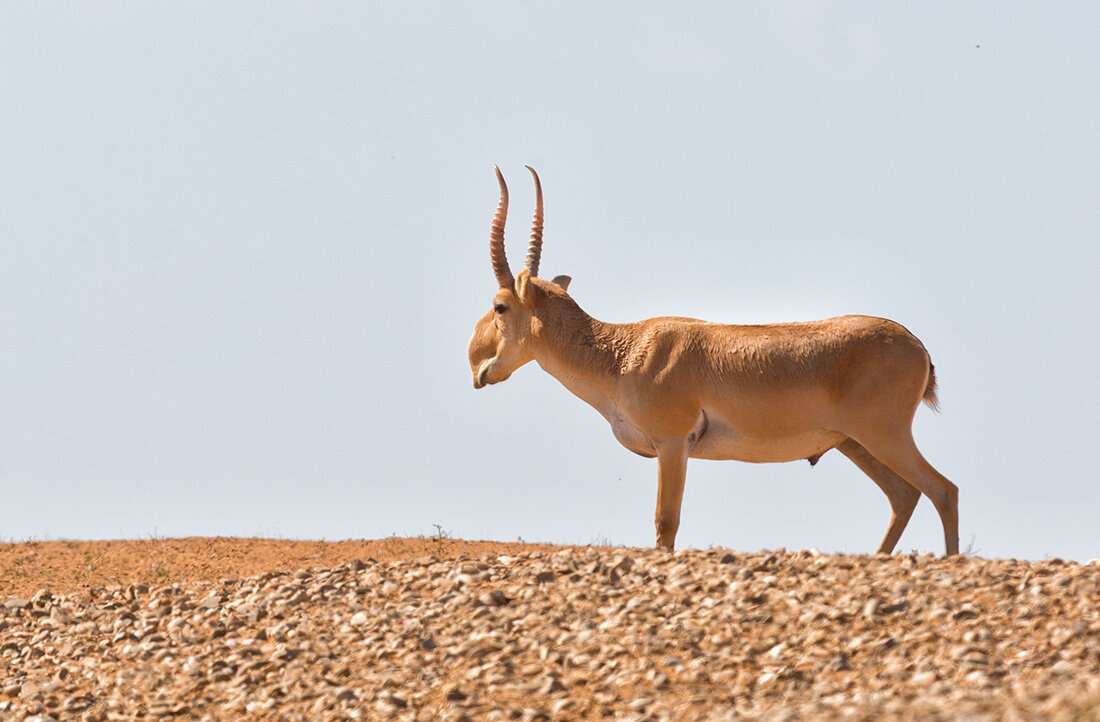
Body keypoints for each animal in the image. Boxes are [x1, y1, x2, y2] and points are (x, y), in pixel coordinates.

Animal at [468, 167, 959, 552]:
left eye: (500, 306)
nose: (477, 365)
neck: (624, 352)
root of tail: (918, 347)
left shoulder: (672, 445)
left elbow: (666, 524)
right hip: (855, 443)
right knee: (904, 497)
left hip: (884, 436)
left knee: (943, 489)